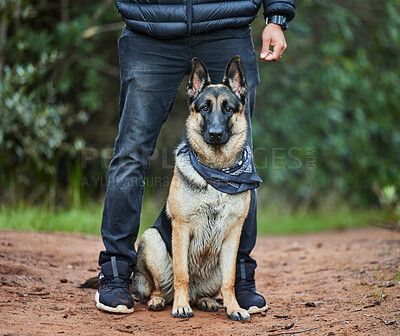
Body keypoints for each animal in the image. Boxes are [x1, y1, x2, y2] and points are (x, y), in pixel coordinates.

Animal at [134, 56, 253, 322]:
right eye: (205, 109)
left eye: (228, 109)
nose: (216, 134)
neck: (217, 173)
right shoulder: (181, 228)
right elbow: (182, 274)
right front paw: (181, 306)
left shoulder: (233, 234)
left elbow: (230, 280)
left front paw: (234, 307)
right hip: (152, 240)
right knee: (157, 287)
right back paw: (160, 300)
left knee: (204, 292)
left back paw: (206, 300)